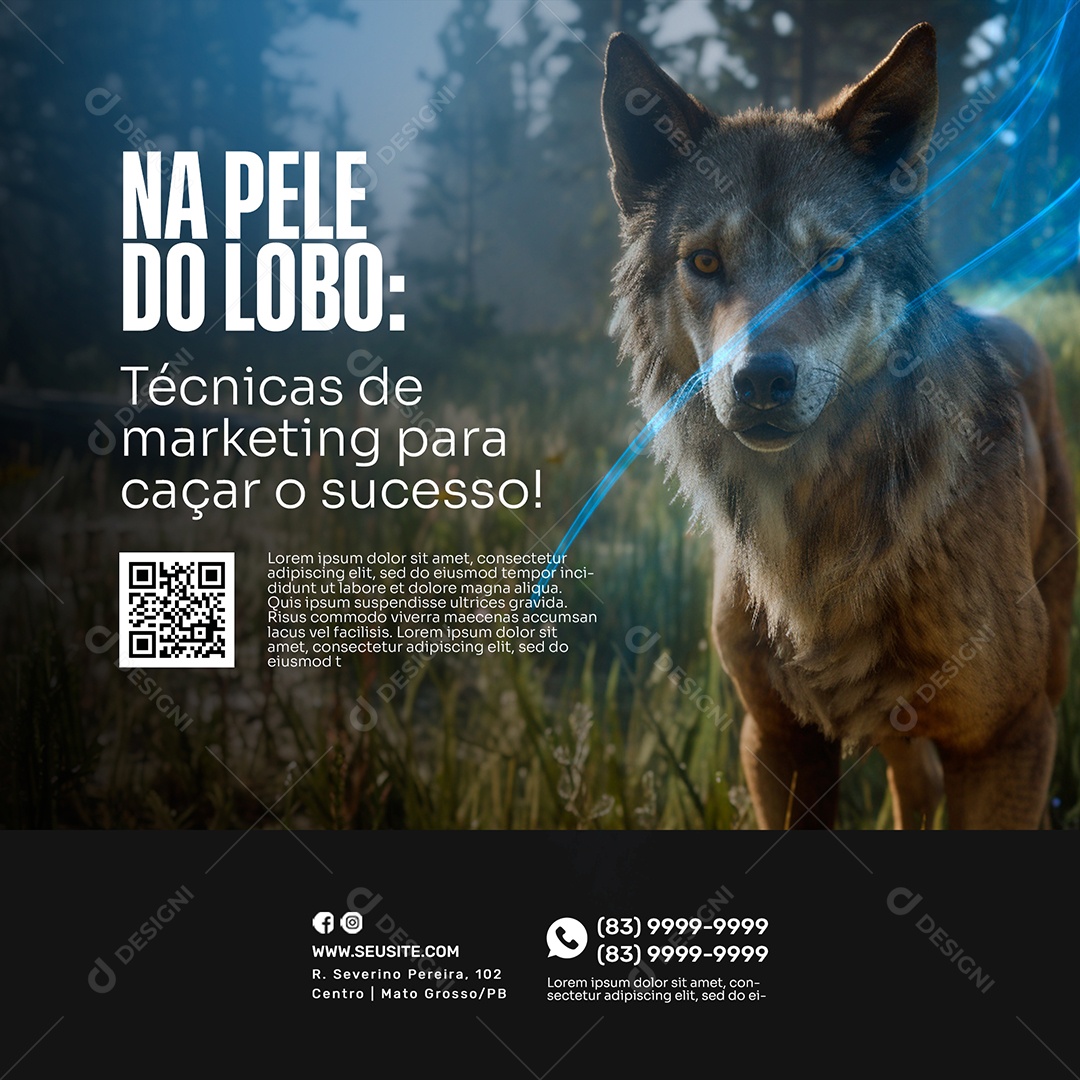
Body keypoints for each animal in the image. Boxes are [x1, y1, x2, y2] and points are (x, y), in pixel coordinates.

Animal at [601, 23, 1076, 828]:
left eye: (831, 261)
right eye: (706, 261)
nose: (760, 380)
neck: (822, 538)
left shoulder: (1011, 737)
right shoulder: (776, 741)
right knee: (913, 789)